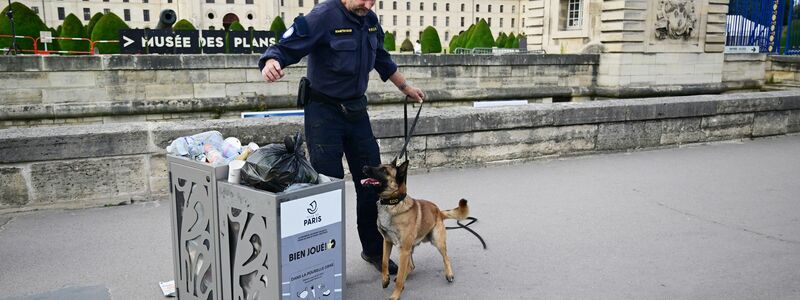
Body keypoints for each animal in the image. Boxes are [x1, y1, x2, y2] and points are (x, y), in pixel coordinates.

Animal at [360, 161, 468, 298]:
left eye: (384, 170)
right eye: (379, 165)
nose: (364, 167)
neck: (393, 203)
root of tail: (438, 211)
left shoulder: (404, 250)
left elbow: (400, 275)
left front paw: (395, 295)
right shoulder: (387, 241)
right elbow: (384, 262)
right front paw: (385, 279)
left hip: (436, 241)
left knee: (445, 257)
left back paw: (449, 274)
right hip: (409, 248)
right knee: (411, 266)